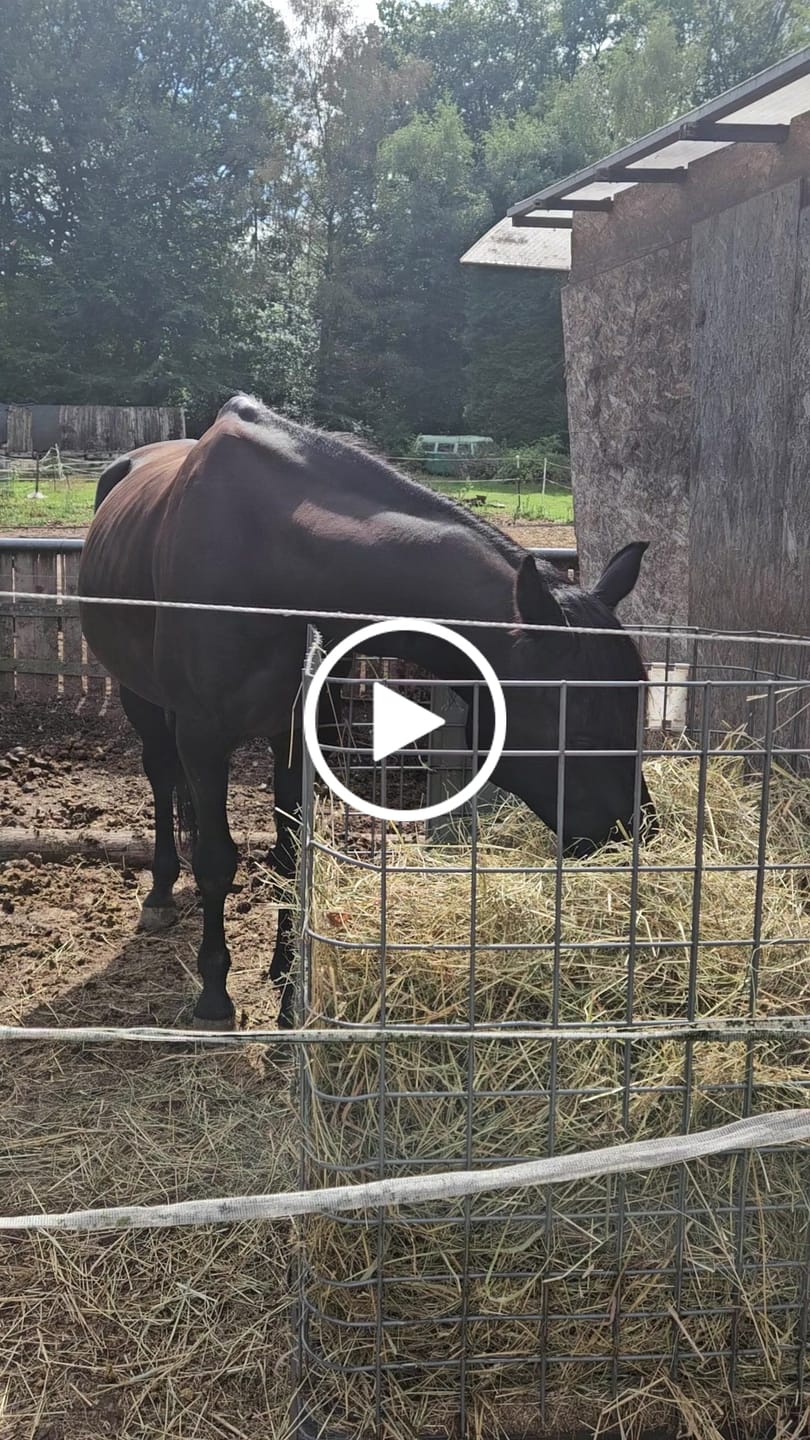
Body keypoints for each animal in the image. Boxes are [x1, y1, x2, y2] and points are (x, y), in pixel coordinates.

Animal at [79, 394, 656, 1031]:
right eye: (578, 716)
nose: (635, 833)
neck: (276, 563)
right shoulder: (205, 740)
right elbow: (215, 861)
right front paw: (215, 994)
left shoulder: (299, 731)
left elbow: (291, 854)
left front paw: (287, 980)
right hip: (142, 698)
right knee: (161, 775)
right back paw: (159, 893)